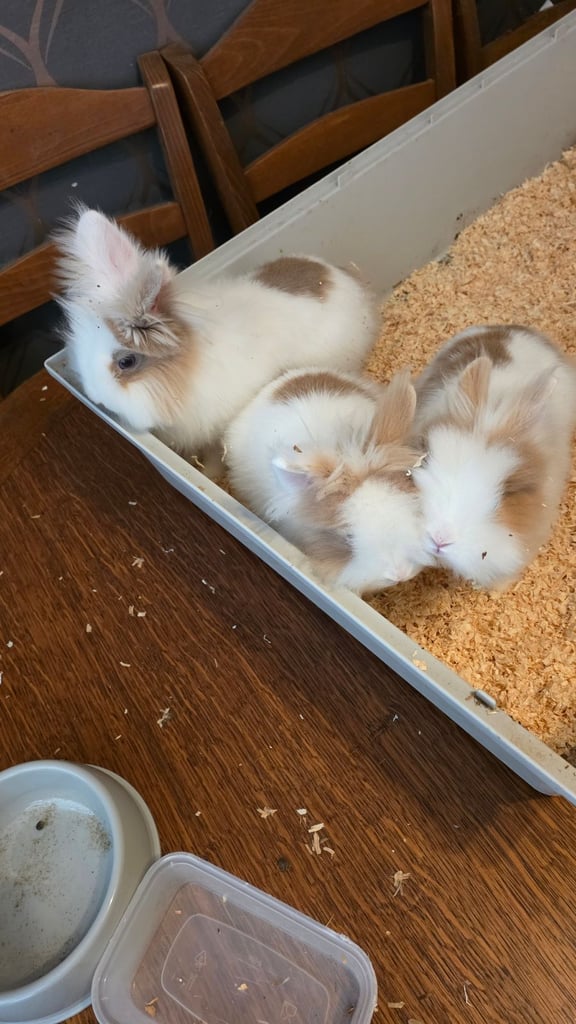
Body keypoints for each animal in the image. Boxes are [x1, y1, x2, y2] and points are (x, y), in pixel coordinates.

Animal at [54, 207, 380, 472]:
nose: (95, 397)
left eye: (126, 361)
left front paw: (209, 474)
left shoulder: (214, 434)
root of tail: (345, 278)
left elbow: (213, 458)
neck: (189, 372)